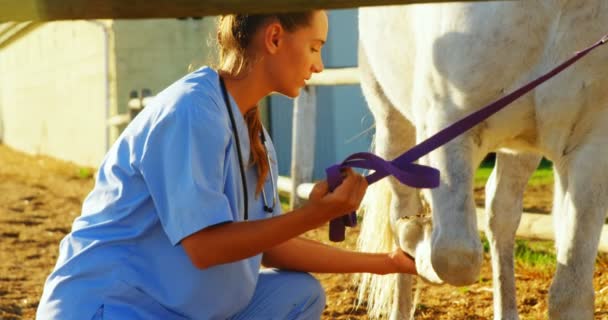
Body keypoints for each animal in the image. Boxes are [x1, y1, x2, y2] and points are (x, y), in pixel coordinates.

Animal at [356, 1, 608, 318]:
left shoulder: (590, 147)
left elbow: (571, 294)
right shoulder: (446, 125)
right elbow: (454, 256)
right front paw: (422, 246)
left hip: (521, 148)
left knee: (500, 215)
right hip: (392, 121)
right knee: (402, 212)